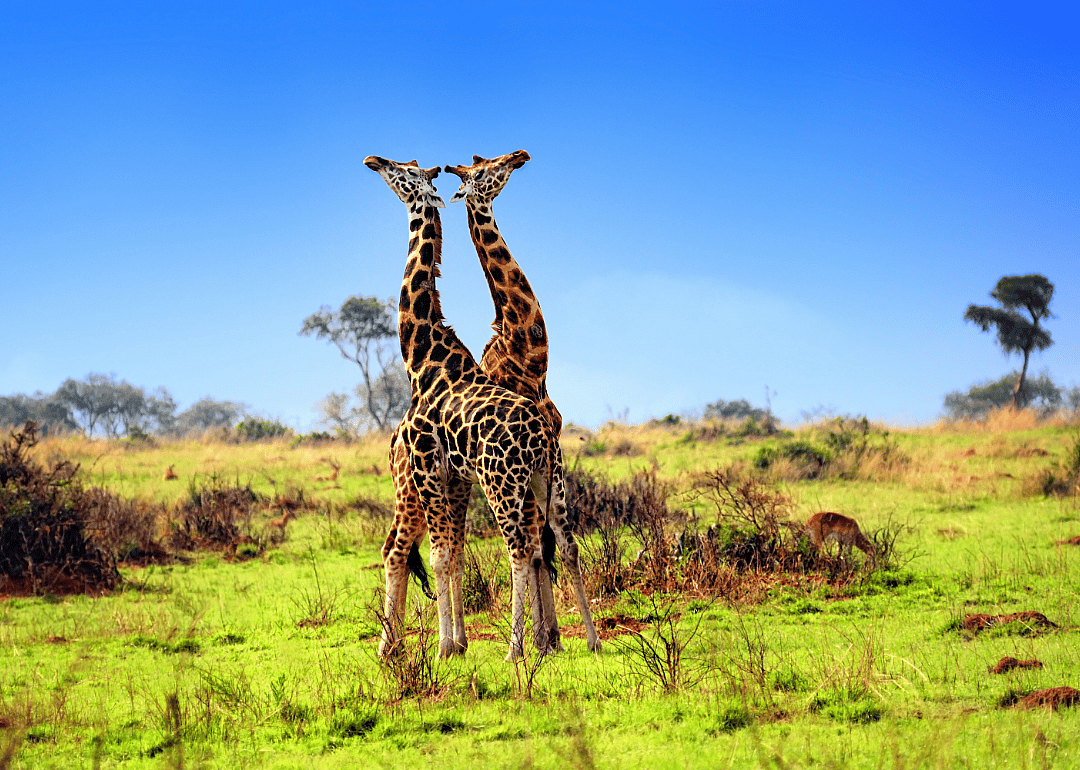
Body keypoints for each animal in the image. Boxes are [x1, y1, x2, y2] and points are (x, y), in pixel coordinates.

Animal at [365, 155, 558, 661]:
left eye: (405, 172)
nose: (373, 160)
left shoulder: (435, 470)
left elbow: (445, 554)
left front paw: (447, 646)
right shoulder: (446, 476)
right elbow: (450, 553)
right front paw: (455, 643)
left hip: (486, 483)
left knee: (512, 546)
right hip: (446, 487)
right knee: (398, 547)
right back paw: (392, 647)